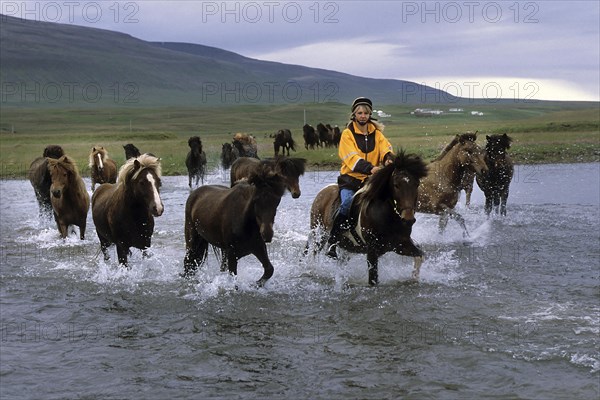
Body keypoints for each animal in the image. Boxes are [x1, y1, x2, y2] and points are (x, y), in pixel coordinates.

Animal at [308, 150, 428, 284]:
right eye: (396, 185)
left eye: (417, 184)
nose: (408, 219)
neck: (387, 217)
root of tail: (323, 191)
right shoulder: (372, 251)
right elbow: (373, 280)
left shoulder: (401, 245)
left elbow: (419, 256)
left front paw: (414, 278)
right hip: (319, 232)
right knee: (314, 251)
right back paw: (312, 269)